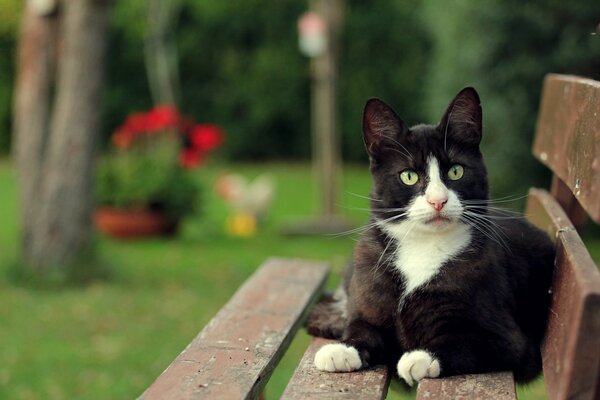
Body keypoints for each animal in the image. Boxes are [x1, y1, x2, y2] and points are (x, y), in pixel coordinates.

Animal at [308, 88, 556, 388]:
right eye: (409, 176)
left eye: (456, 171)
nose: (438, 200)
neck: (423, 245)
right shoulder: (371, 290)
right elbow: (363, 327)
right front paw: (343, 349)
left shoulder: (509, 340)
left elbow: (466, 342)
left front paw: (421, 358)